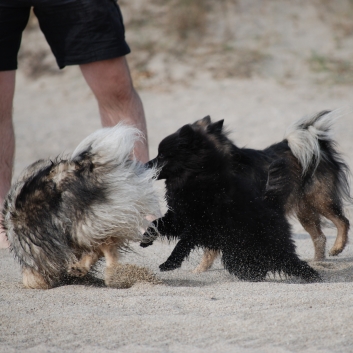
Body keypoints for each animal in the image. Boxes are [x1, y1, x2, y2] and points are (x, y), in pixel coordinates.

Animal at [1, 124, 160, 288]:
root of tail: (86, 166)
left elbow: (33, 278)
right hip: (100, 221)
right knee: (102, 245)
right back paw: (84, 269)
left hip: (83, 225)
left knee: (105, 247)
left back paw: (111, 274)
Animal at [140, 119, 320, 282]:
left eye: (162, 155)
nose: (144, 166)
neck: (195, 175)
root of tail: (274, 206)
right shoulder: (180, 218)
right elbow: (157, 223)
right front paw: (146, 239)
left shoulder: (199, 225)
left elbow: (182, 244)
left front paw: (169, 263)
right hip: (238, 251)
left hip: (266, 244)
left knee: (290, 261)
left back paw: (312, 275)